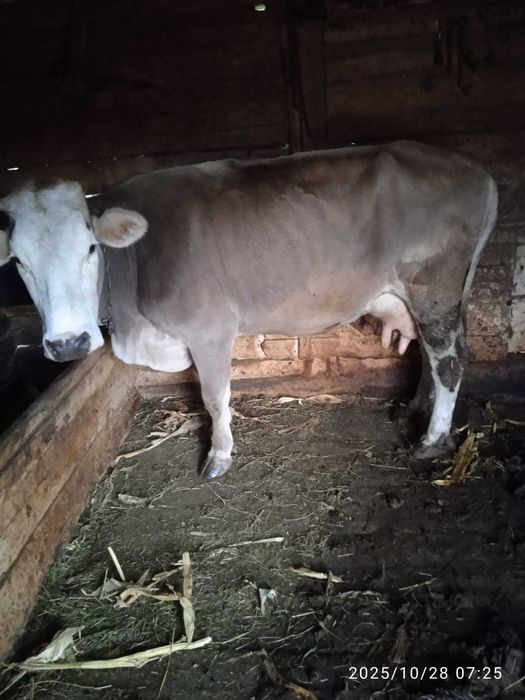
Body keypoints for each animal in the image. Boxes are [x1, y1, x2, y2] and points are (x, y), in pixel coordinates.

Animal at [0, 141, 498, 479]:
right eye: (19, 261)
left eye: (89, 248)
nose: (69, 343)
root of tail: (474, 168)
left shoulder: (209, 330)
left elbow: (214, 396)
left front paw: (218, 457)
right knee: (432, 356)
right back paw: (415, 409)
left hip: (433, 286)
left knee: (450, 359)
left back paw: (431, 440)